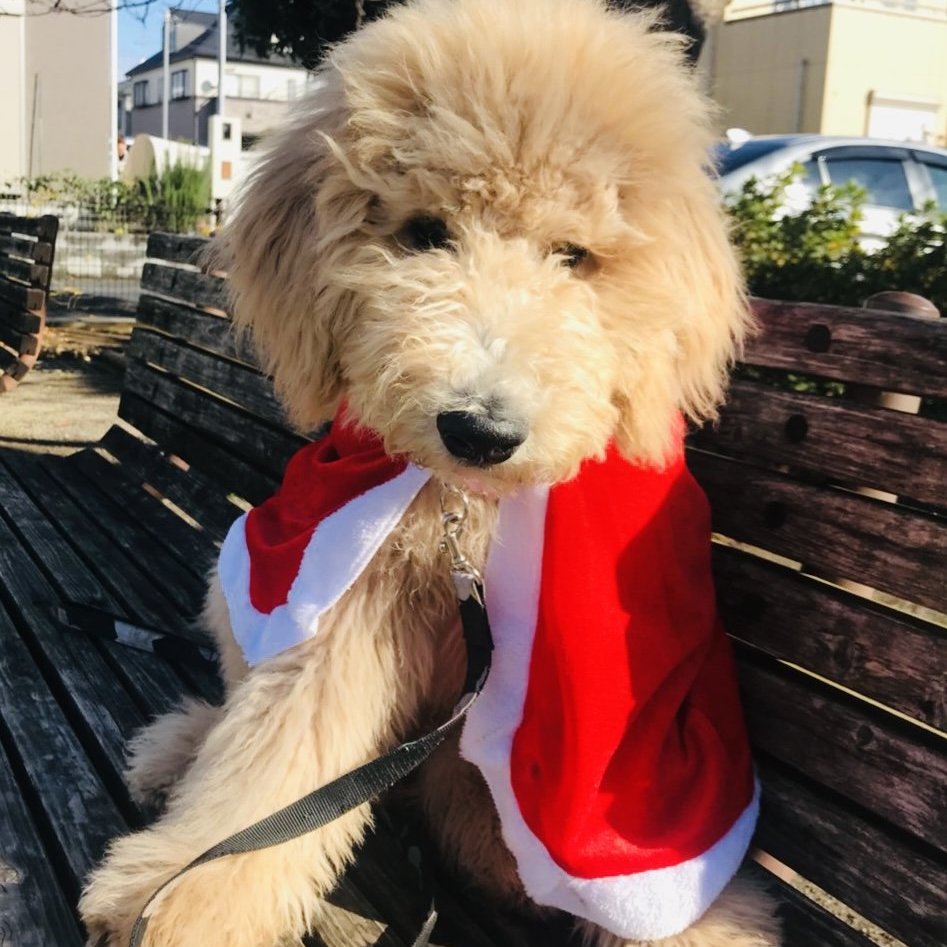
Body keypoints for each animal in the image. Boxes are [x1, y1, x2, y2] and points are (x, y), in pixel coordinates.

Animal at [80, 1, 781, 945]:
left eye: (573, 255)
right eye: (423, 234)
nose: (478, 430)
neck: (467, 514)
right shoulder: (351, 604)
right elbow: (273, 766)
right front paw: (179, 899)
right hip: (248, 572)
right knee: (238, 705)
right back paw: (180, 745)